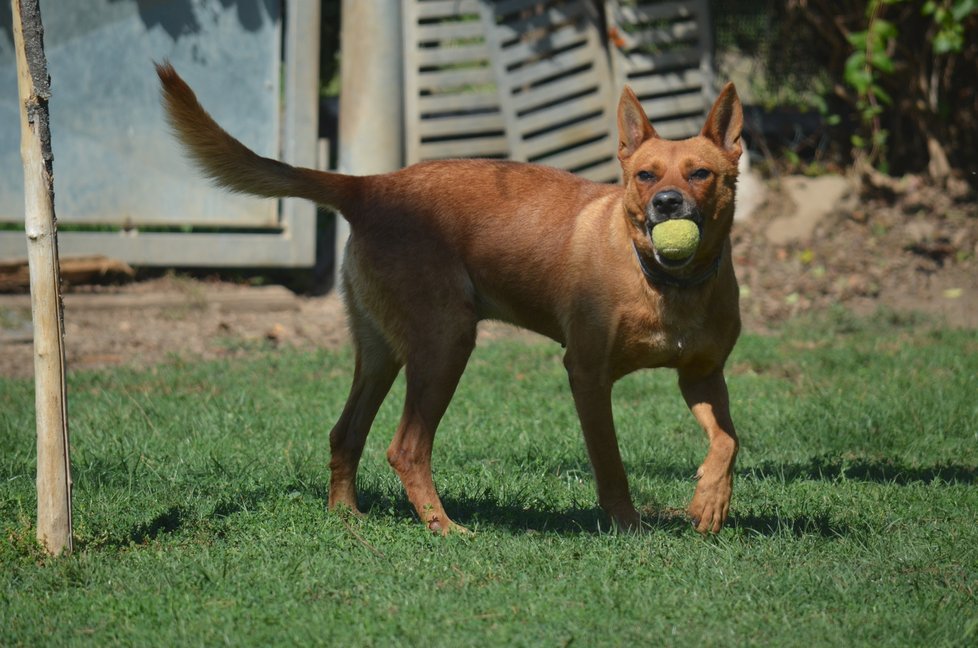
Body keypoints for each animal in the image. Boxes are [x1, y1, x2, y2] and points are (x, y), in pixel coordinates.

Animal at [156, 63, 744, 536]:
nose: (667, 203)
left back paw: (348, 516)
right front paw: (628, 525)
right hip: (446, 343)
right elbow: (612, 463)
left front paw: (709, 501)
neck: (668, 284)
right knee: (406, 447)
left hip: (383, 352)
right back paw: (443, 527)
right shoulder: (587, 373)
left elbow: (728, 440)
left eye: (701, 173)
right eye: (645, 175)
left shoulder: (702, 375)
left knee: (345, 434)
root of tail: (368, 185)